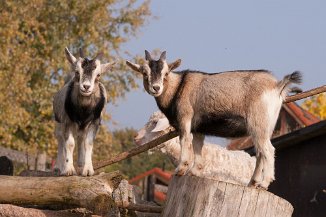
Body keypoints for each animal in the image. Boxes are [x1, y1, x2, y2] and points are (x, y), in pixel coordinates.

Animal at [53, 48, 114, 176]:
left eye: (98, 75)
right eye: (77, 72)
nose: (86, 87)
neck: (84, 109)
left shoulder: (95, 122)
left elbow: (88, 142)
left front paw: (88, 170)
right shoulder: (68, 121)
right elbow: (70, 143)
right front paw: (69, 170)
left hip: (82, 125)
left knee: (80, 137)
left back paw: (80, 164)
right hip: (58, 120)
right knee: (60, 138)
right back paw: (58, 167)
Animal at [126, 50, 302, 188]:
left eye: (166, 73)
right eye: (144, 73)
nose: (156, 88)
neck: (177, 88)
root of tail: (277, 86)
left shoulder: (185, 118)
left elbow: (185, 141)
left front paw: (181, 170)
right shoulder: (198, 127)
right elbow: (197, 146)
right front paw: (194, 171)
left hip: (258, 123)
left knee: (268, 150)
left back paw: (264, 183)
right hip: (263, 127)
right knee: (260, 152)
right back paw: (252, 182)